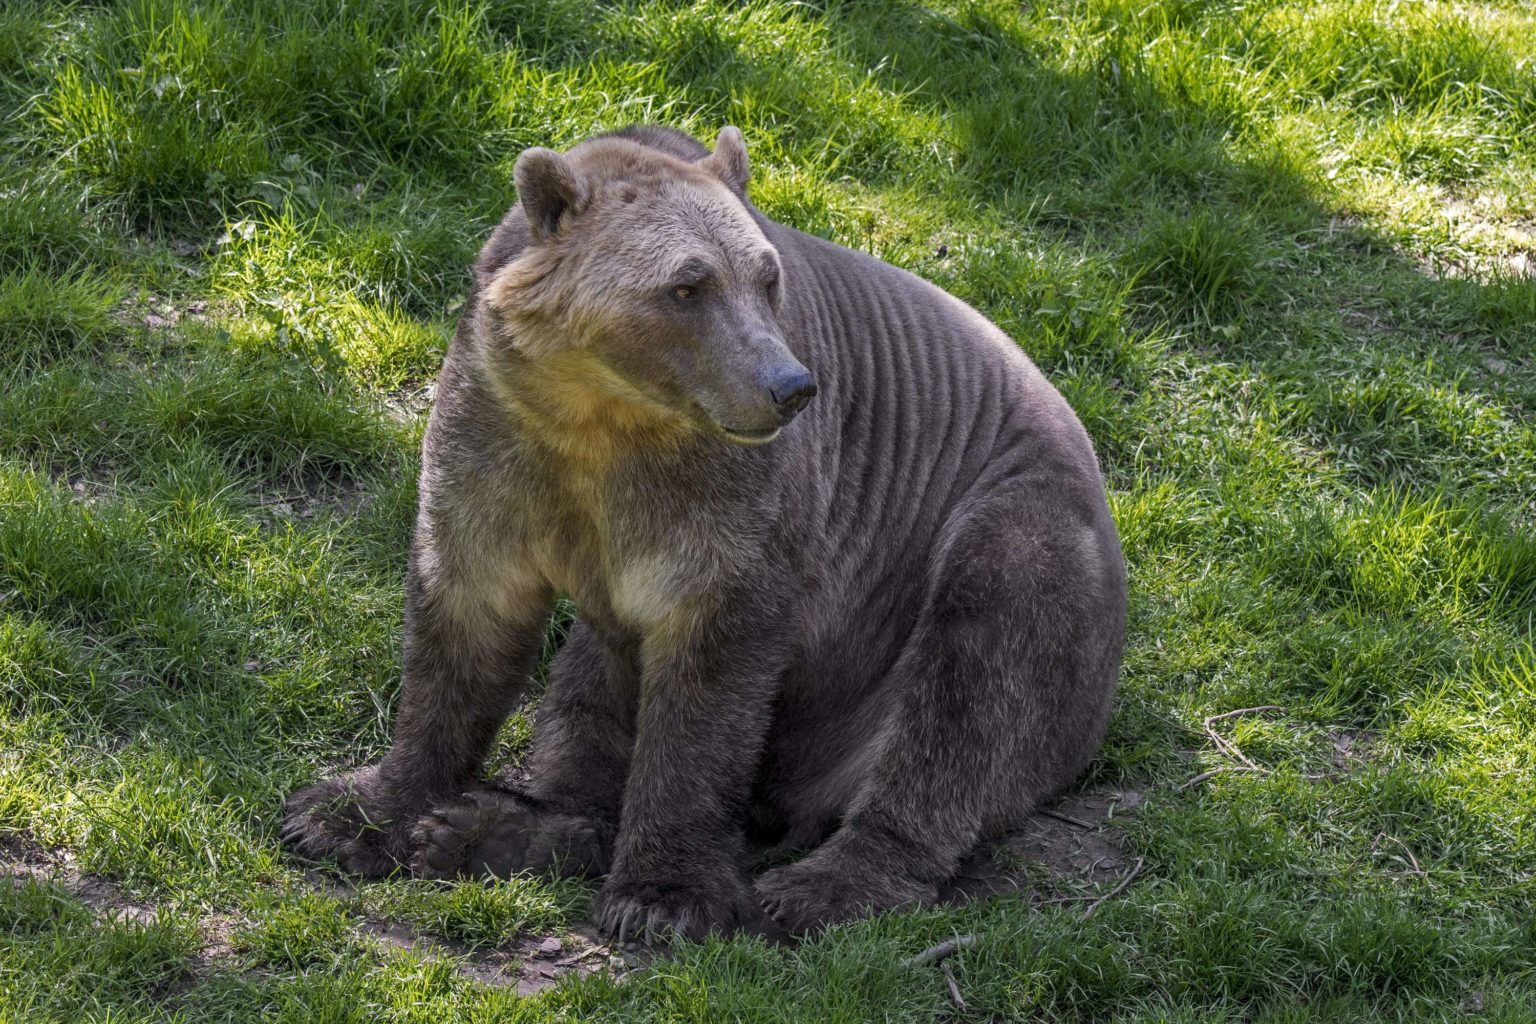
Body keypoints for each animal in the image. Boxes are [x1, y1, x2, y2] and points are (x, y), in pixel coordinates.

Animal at [285, 124, 1130, 939]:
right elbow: (465, 611)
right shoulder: (499, 437)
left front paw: (665, 895)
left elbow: (710, 680)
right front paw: (347, 813)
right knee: (586, 690)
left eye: (766, 277)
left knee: (971, 682)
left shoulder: (732, 507)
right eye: (687, 285)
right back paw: (489, 831)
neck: (599, 413)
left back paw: (821, 887)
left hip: (1010, 533)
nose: (789, 387)